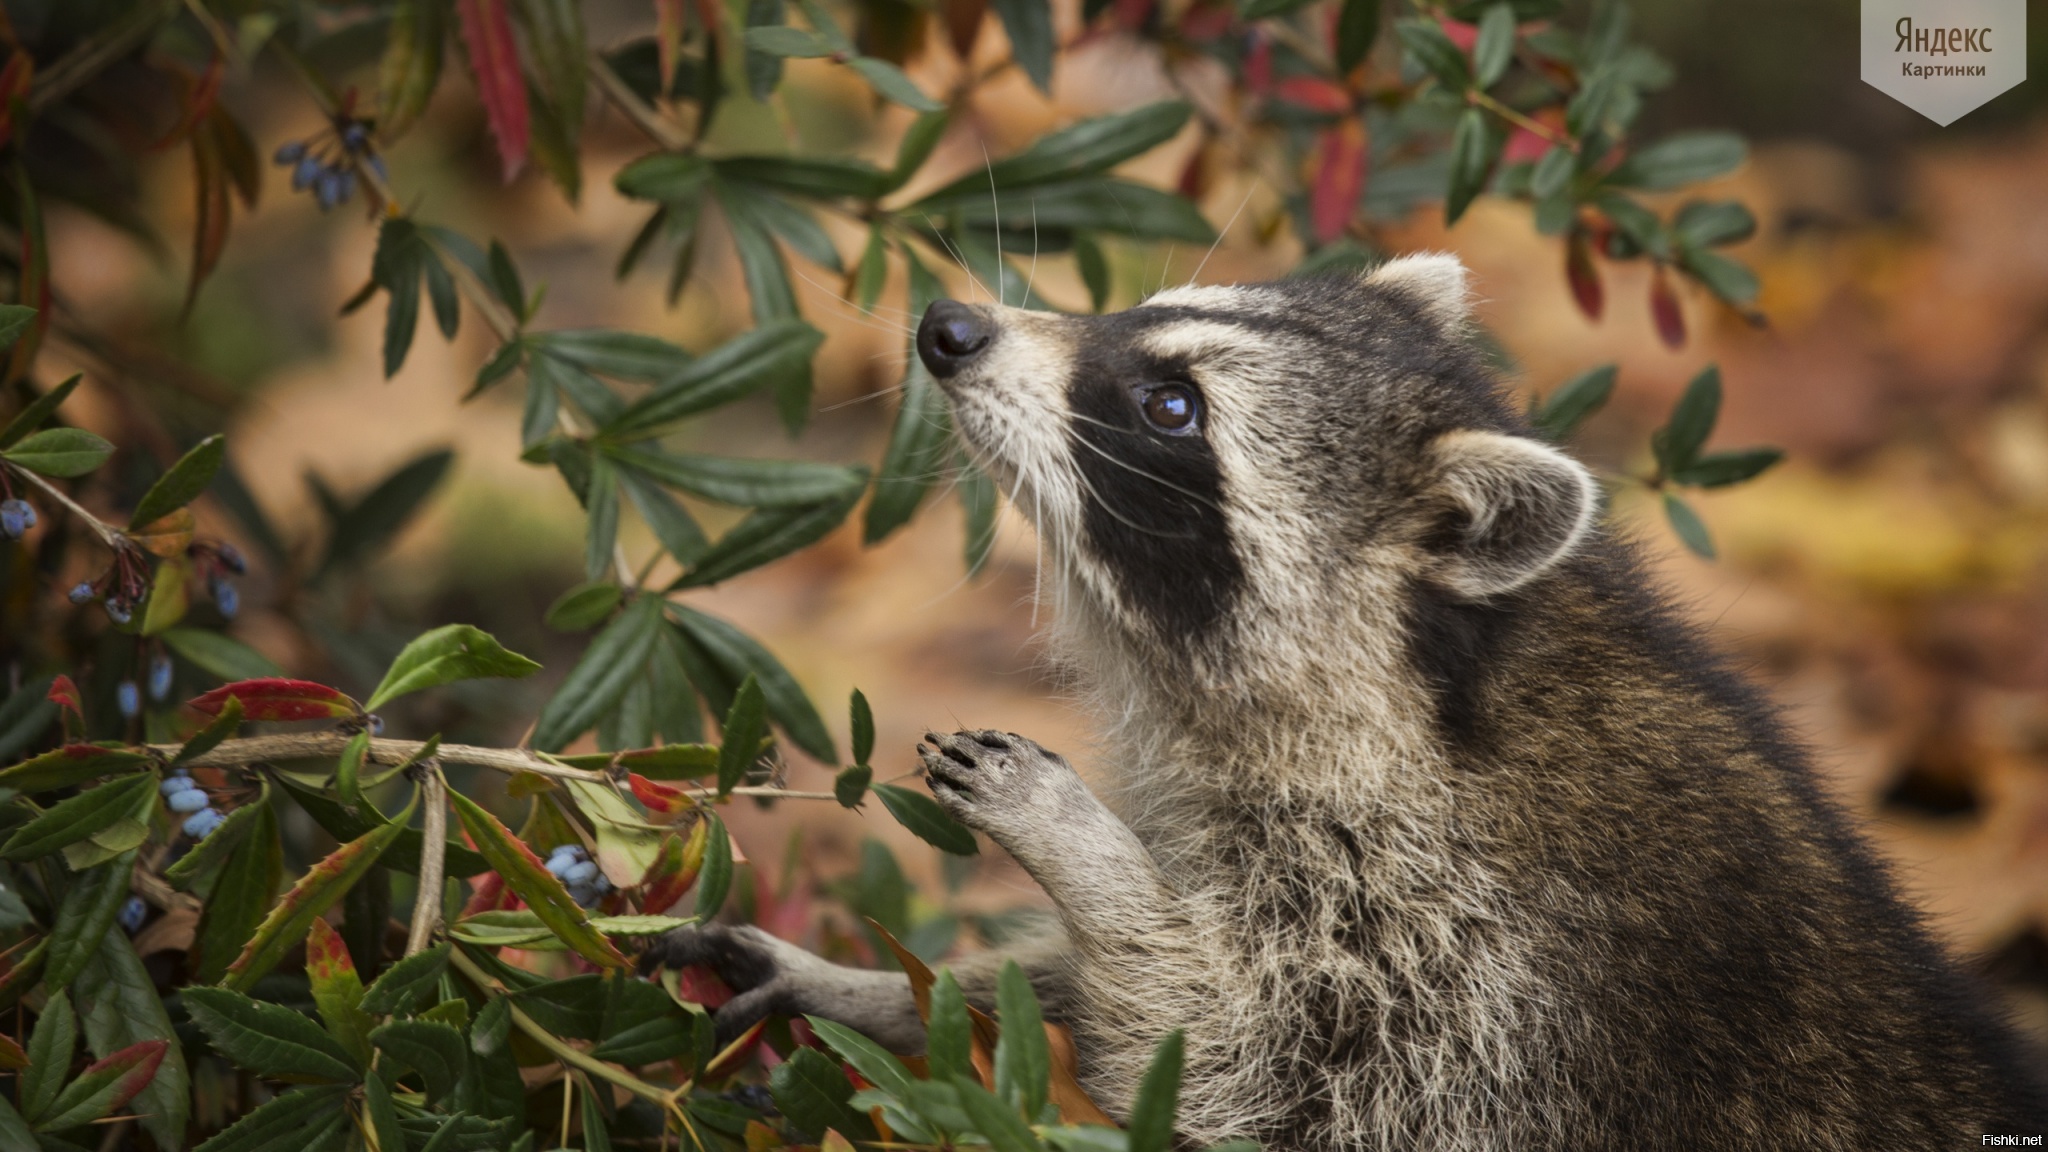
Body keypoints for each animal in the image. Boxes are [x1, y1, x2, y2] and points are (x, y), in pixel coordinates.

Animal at [643, 258, 2048, 1147]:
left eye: (1170, 406)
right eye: (1142, 314)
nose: (948, 325)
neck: (1418, 688)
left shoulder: (1480, 971)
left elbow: (1242, 1076)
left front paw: (1085, 857)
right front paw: (884, 991)